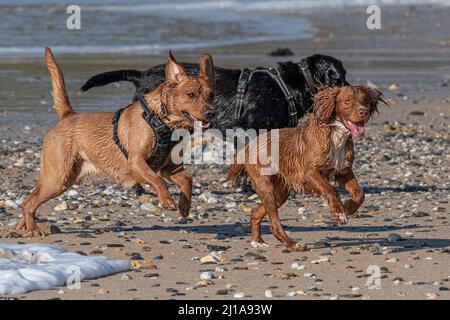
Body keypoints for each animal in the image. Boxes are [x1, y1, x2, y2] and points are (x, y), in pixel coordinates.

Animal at [17, 48, 214, 238]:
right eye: (191, 94)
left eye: (211, 95)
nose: (211, 112)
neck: (162, 120)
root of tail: (68, 115)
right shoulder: (136, 162)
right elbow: (158, 181)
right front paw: (167, 201)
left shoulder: (168, 167)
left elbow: (188, 179)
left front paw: (185, 206)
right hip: (57, 177)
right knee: (28, 202)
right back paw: (32, 229)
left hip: (62, 180)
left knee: (30, 202)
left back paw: (21, 227)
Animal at [229, 85, 384, 252]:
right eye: (347, 101)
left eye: (365, 101)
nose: (364, 112)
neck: (335, 135)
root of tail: (249, 145)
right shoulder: (309, 173)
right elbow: (331, 190)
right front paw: (338, 213)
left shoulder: (343, 171)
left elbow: (359, 193)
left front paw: (348, 208)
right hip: (265, 186)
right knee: (274, 223)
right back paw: (292, 244)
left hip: (280, 192)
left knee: (256, 212)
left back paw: (257, 241)